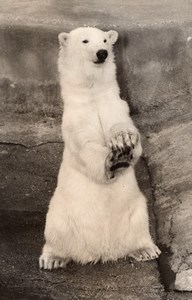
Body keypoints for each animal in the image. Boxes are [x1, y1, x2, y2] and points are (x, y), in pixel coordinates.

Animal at [39, 26, 160, 270]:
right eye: (85, 41)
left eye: (105, 40)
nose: (102, 53)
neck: (92, 95)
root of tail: (100, 253)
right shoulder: (75, 119)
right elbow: (86, 145)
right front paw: (114, 159)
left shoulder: (115, 104)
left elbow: (125, 127)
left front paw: (123, 144)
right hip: (60, 213)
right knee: (55, 231)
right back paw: (53, 258)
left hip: (136, 209)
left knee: (140, 224)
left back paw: (145, 250)